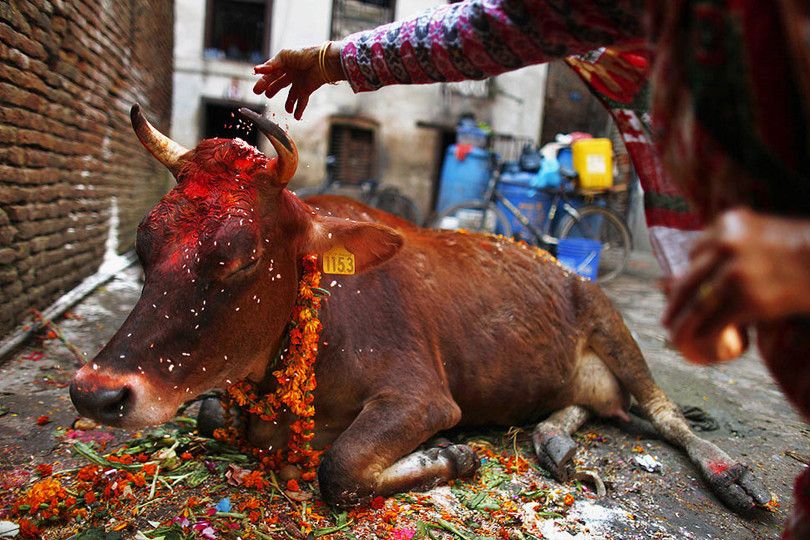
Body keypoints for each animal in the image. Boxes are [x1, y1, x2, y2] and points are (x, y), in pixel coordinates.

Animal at [71, 105, 772, 516]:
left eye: (241, 254)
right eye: (143, 242)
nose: (95, 392)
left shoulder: (423, 395)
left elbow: (340, 467)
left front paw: (453, 457)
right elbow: (212, 414)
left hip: (610, 320)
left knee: (665, 414)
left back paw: (732, 476)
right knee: (589, 406)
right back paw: (554, 441)